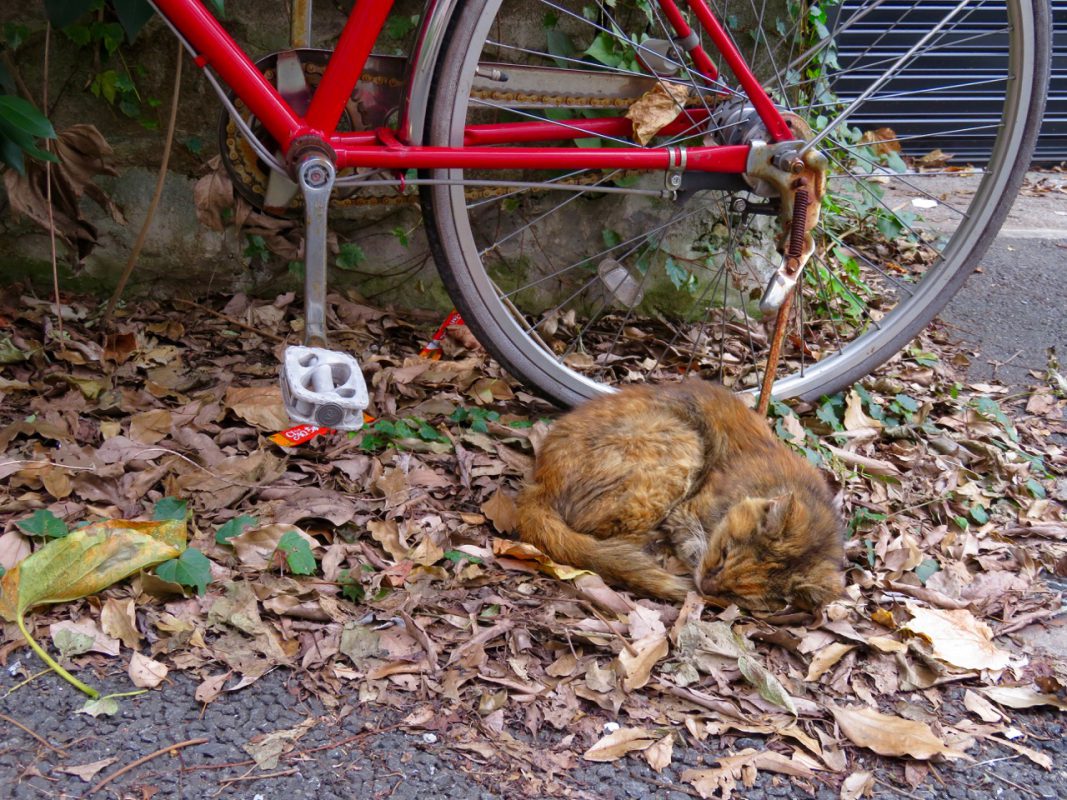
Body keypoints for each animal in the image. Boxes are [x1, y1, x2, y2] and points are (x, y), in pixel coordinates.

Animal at [512, 379, 845, 610]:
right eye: (724, 554)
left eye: (737, 592)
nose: (705, 587)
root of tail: (539, 483)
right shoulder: (687, 512)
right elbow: (691, 542)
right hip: (680, 448)